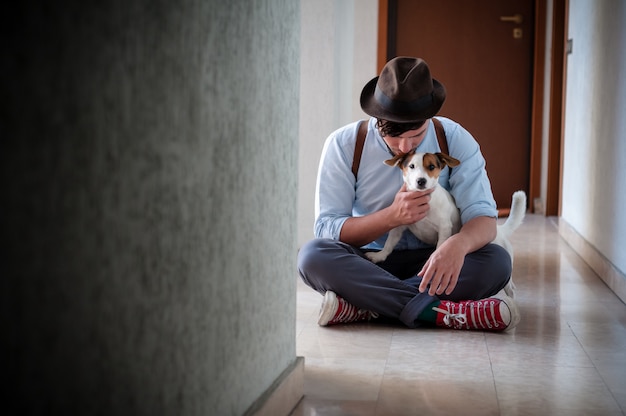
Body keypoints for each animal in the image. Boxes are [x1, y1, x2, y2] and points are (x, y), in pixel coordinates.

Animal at [364, 151, 524, 264]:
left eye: (431, 166)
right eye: (411, 166)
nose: (421, 181)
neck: (425, 200)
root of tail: (499, 230)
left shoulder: (444, 228)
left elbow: (440, 247)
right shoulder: (399, 227)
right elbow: (389, 244)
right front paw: (380, 255)